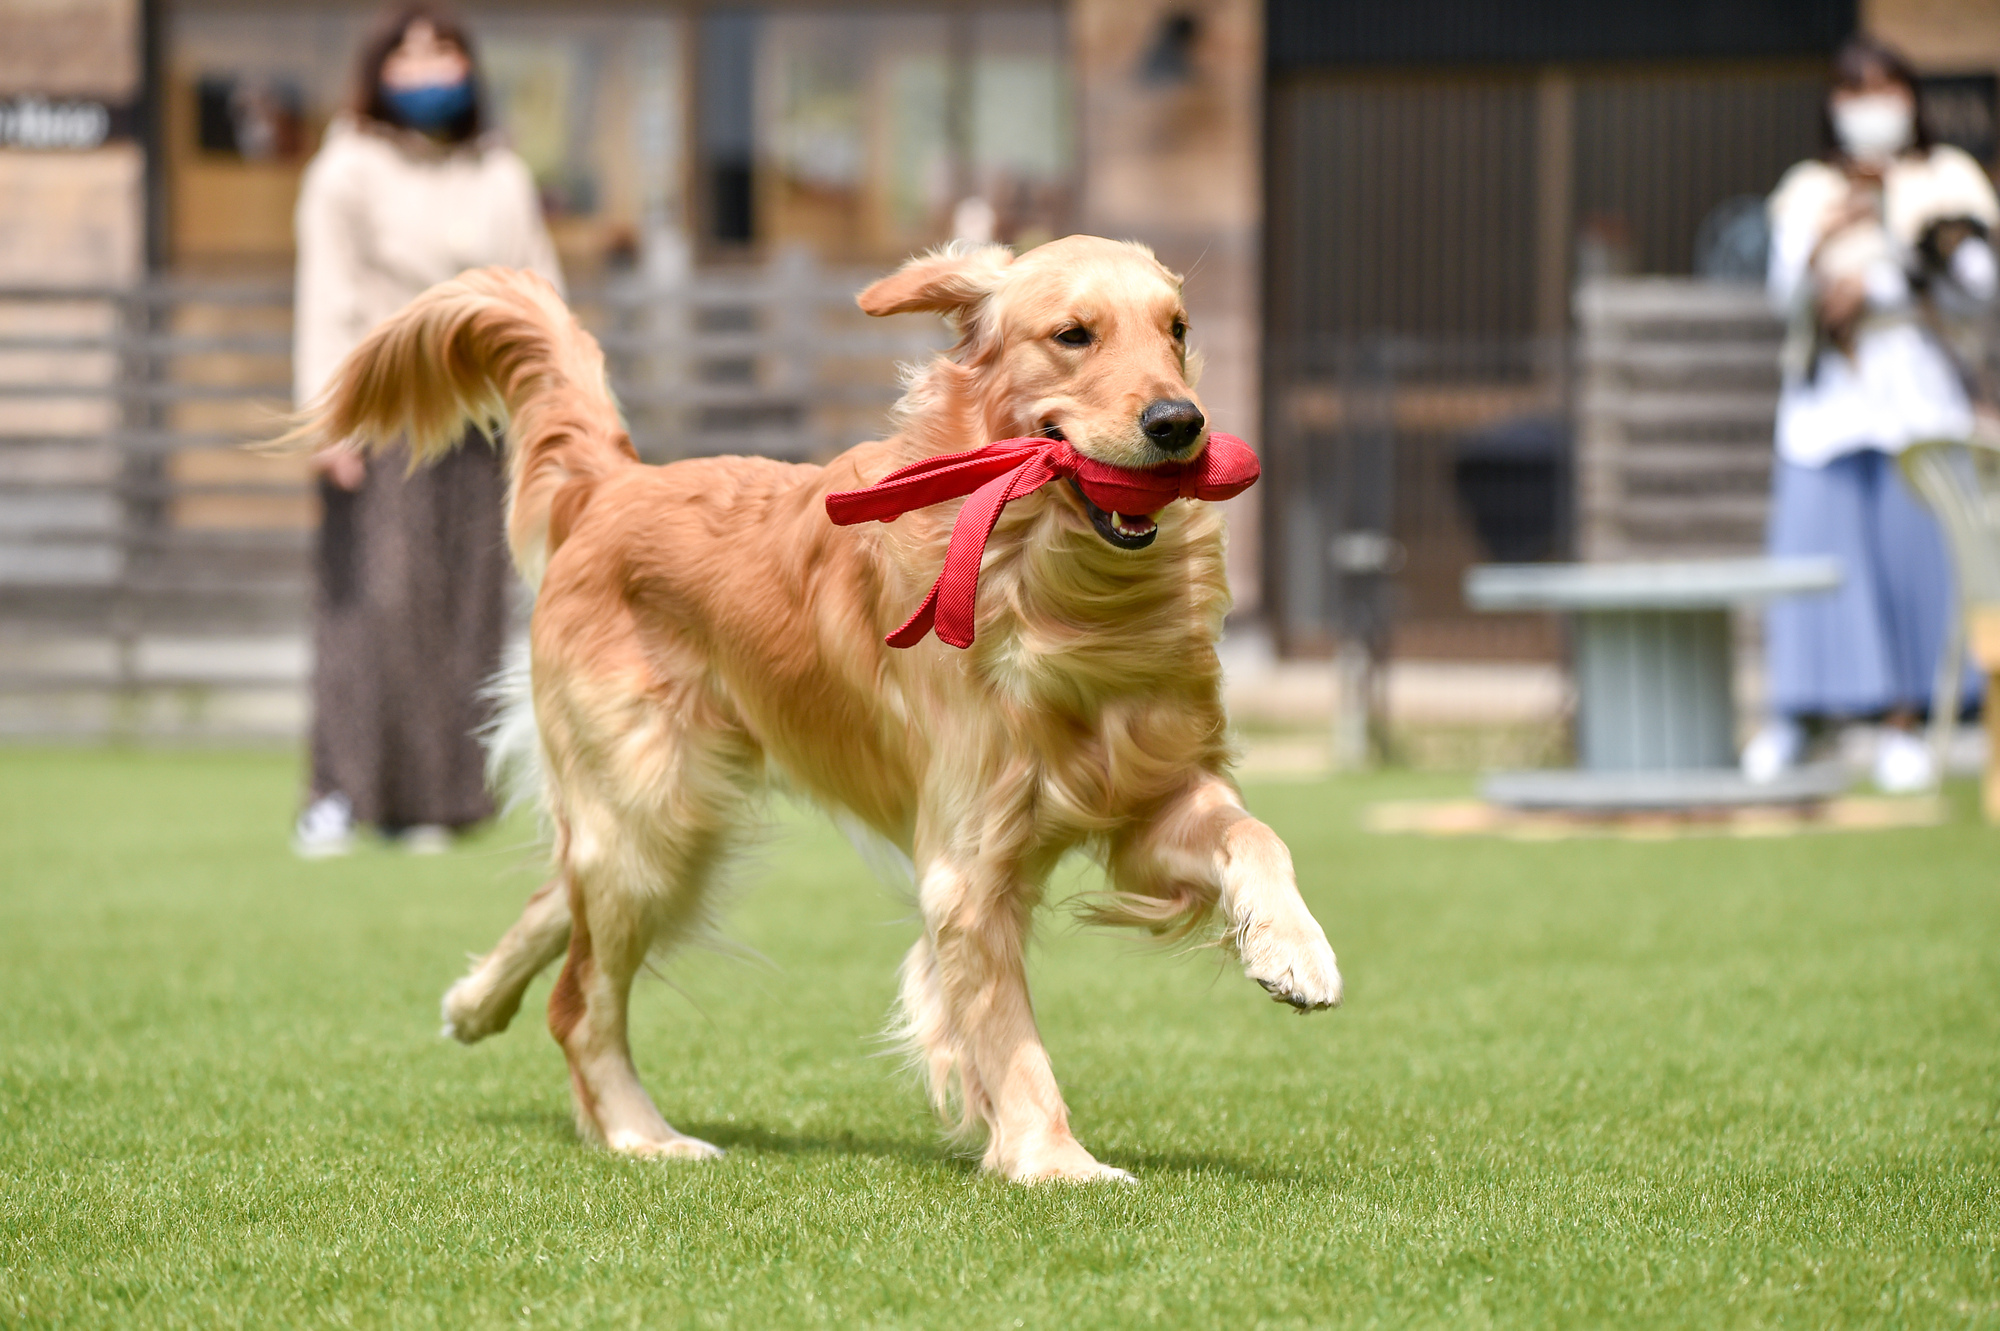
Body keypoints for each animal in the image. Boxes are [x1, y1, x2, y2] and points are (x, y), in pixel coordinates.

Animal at [292, 232, 1344, 1175]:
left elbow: (1259, 836)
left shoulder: (1150, 793)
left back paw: (476, 1000)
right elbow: (1008, 1033)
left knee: (559, 895)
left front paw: (1295, 950)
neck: (1051, 586)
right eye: (1073, 334)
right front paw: (1055, 1160)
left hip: (660, 816)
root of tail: (619, 482)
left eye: (1177, 329)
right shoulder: (969, 866)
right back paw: (642, 1134)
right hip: (653, 810)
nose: (1180, 421)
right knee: (581, 995)